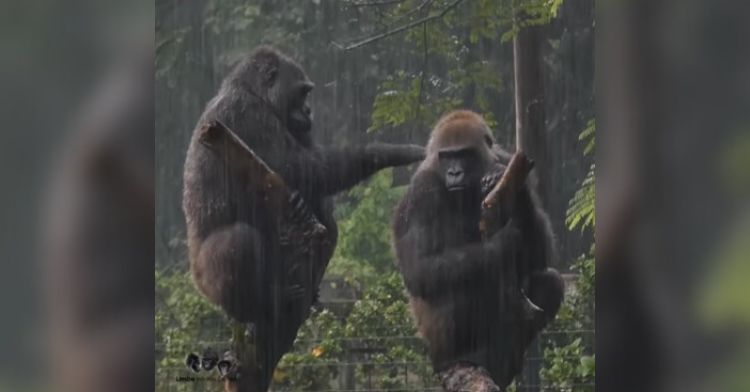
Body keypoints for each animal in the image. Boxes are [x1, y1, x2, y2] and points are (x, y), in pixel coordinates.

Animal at [183, 45, 426, 388]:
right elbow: (304, 169)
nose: (310, 112)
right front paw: (396, 151)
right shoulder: (248, 115)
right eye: (302, 92)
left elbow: (313, 179)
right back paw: (257, 306)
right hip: (204, 280)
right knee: (237, 243)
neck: (252, 91)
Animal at [394, 109, 564, 388]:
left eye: (464, 154)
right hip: (435, 343)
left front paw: (519, 194)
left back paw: (502, 361)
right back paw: (456, 357)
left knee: (549, 281)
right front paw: (506, 240)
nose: (454, 173)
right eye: (447, 157)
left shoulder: (505, 160)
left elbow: (540, 254)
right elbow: (420, 269)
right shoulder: (422, 191)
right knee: (461, 285)